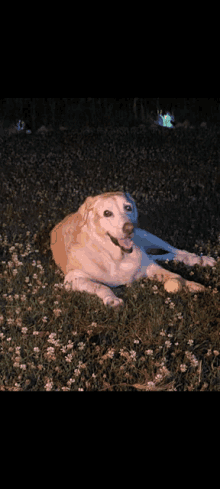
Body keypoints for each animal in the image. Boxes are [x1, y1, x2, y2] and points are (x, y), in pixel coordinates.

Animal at [50, 191, 217, 304]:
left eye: (128, 208)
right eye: (107, 213)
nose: (130, 228)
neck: (114, 257)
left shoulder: (149, 266)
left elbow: (175, 275)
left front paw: (191, 284)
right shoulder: (73, 279)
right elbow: (101, 287)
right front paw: (112, 299)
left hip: (147, 236)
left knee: (175, 251)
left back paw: (200, 260)